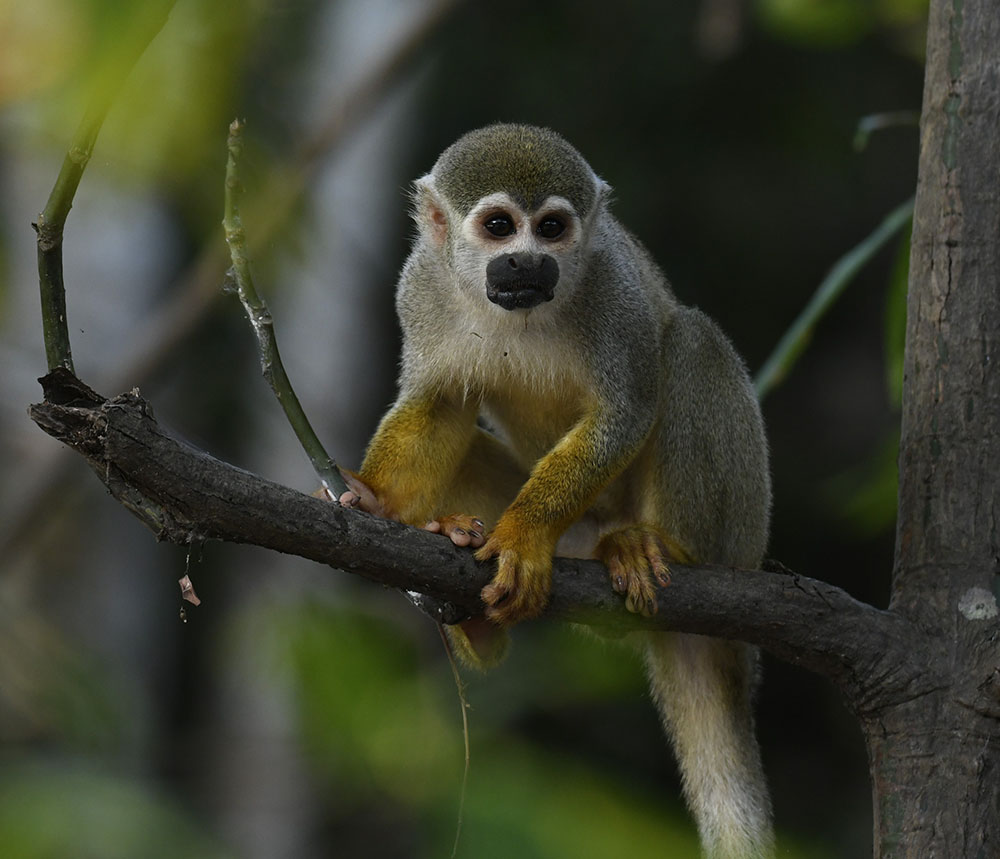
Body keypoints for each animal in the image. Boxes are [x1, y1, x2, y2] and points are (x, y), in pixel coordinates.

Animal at [342, 124, 772, 856]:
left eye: (550, 228)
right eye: (498, 227)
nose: (523, 262)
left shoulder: (612, 286)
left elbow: (624, 412)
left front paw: (521, 535)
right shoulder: (420, 285)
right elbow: (440, 402)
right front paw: (377, 501)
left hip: (741, 526)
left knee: (691, 339)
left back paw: (667, 548)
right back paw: (468, 596)